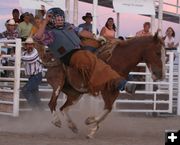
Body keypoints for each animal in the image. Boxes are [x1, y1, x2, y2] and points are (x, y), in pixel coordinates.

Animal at [37, 32, 165, 139]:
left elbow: (107, 109)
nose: (161, 75)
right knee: (52, 103)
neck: (119, 59)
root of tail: (51, 58)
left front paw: (92, 128)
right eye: (158, 52)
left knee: (63, 108)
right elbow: (107, 109)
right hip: (58, 84)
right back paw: (56, 121)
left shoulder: (114, 91)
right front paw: (90, 122)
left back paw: (72, 126)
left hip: (75, 93)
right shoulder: (105, 89)